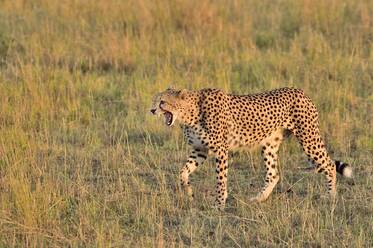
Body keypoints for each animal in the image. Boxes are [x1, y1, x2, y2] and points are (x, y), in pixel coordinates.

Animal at [149, 88, 352, 208]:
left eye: (162, 102)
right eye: (155, 101)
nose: (152, 110)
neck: (189, 114)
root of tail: (300, 91)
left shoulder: (220, 150)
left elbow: (220, 180)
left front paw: (219, 204)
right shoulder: (200, 150)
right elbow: (183, 172)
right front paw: (189, 192)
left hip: (308, 139)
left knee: (329, 164)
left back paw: (330, 196)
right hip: (269, 144)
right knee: (273, 174)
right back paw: (259, 199)